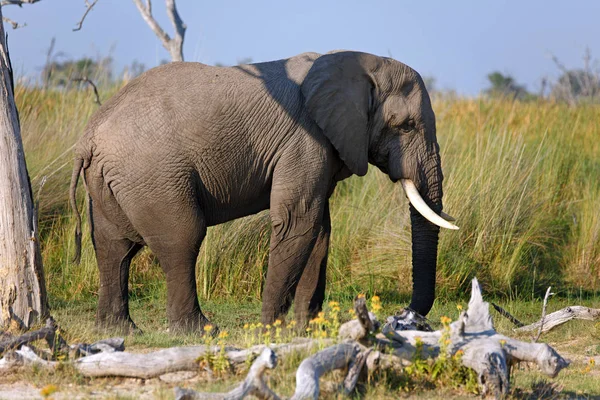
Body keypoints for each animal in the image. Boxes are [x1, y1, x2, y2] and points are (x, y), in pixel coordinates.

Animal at [70, 50, 458, 332]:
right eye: (405, 126)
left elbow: (319, 230)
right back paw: (200, 331)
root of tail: (88, 139)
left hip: (115, 180)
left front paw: (308, 328)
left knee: (114, 247)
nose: (404, 316)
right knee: (182, 238)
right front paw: (272, 328)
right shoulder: (305, 140)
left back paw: (118, 331)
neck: (360, 64)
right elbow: (298, 222)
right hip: (152, 175)